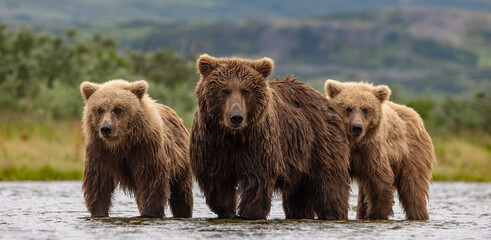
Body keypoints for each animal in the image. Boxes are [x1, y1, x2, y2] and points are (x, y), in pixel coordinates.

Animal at [80, 79, 193, 218]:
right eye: (99, 109)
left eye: (117, 109)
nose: (106, 129)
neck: (121, 144)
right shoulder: (100, 150)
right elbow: (98, 182)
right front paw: (99, 212)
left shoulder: (145, 149)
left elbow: (151, 182)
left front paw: (150, 212)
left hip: (180, 160)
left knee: (181, 192)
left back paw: (183, 212)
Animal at [190, 55, 352, 220]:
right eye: (224, 91)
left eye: (246, 91)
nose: (236, 117)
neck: (234, 135)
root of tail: (324, 99)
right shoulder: (212, 144)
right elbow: (217, 182)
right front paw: (227, 212)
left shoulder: (258, 142)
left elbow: (256, 180)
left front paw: (250, 213)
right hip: (300, 158)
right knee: (299, 194)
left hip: (321, 144)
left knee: (330, 183)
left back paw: (333, 214)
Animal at [326, 79, 434, 220]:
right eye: (348, 108)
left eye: (365, 109)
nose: (357, 127)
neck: (355, 144)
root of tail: (418, 117)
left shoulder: (372, 151)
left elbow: (380, 181)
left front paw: (376, 214)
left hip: (412, 153)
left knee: (413, 187)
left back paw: (418, 215)